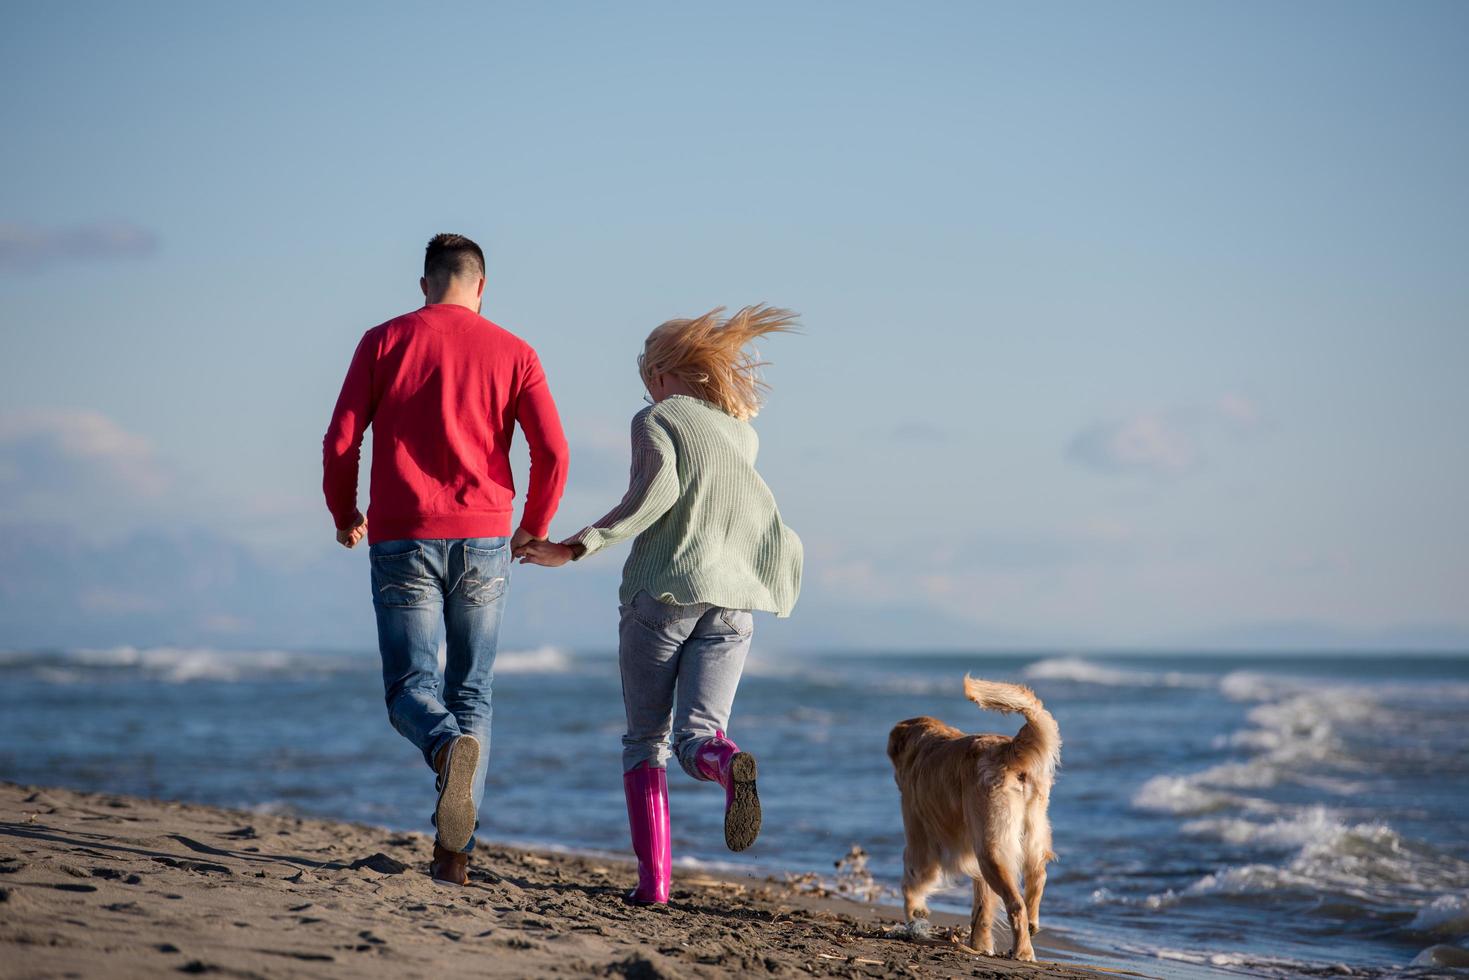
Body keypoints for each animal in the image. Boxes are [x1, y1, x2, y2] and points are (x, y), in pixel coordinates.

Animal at [881, 678, 1057, 963]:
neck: (926, 745)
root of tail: (1008, 750)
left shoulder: (920, 838)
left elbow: (911, 882)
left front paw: (915, 915)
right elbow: (982, 908)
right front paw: (980, 945)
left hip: (991, 850)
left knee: (1016, 904)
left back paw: (1023, 951)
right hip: (1024, 838)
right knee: (1037, 878)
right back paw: (1032, 925)